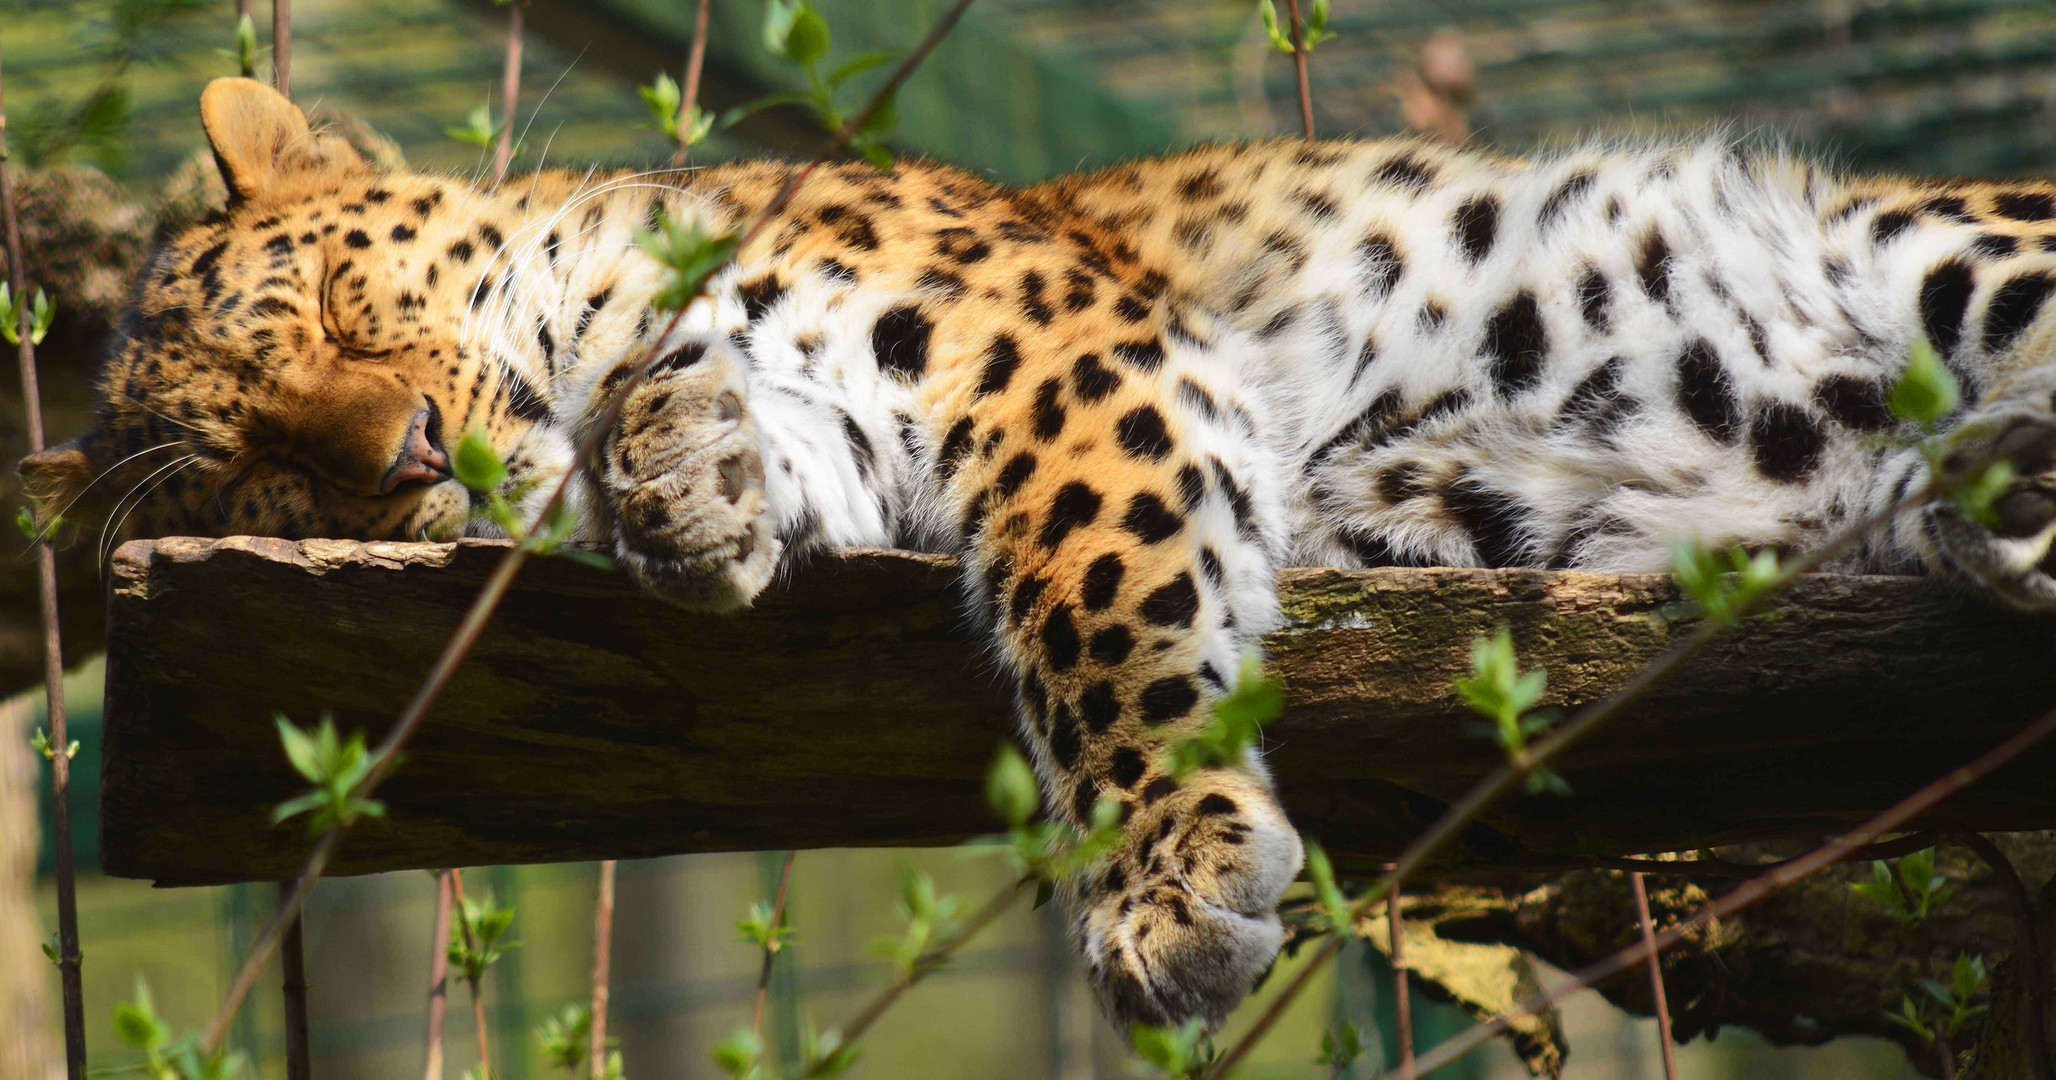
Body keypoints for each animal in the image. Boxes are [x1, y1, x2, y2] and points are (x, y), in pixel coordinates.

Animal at [24, 77, 2056, 1028]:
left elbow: (1099, 591)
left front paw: (1167, 876)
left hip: (1950, 252)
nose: (398, 458)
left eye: (334, 307)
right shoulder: (869, 403)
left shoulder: (1046, 342)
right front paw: (688, 485)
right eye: (269, 472)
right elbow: (733, 437)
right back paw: (1989, 493)